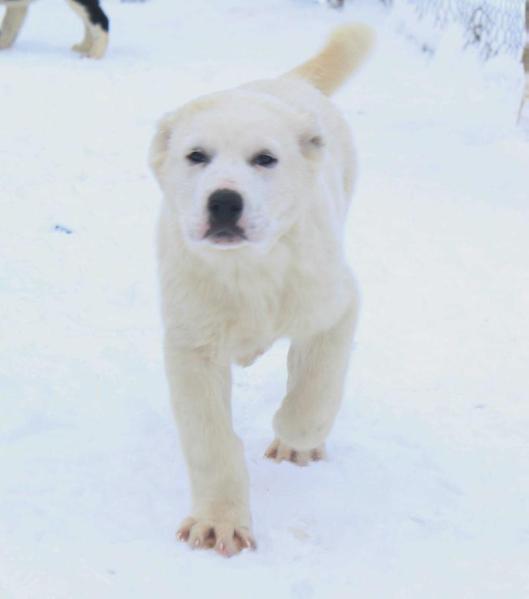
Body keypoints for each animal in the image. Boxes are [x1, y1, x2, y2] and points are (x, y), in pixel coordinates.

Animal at [148, 23, 372, 556]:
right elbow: (209, 441)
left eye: (265, 159)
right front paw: (218, 523)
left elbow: (314, 391)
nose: (225, 201)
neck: (247, 271)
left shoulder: (337, 304)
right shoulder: (191, 344)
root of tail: (288, 82)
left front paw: (295, 438)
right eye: (196, 156)